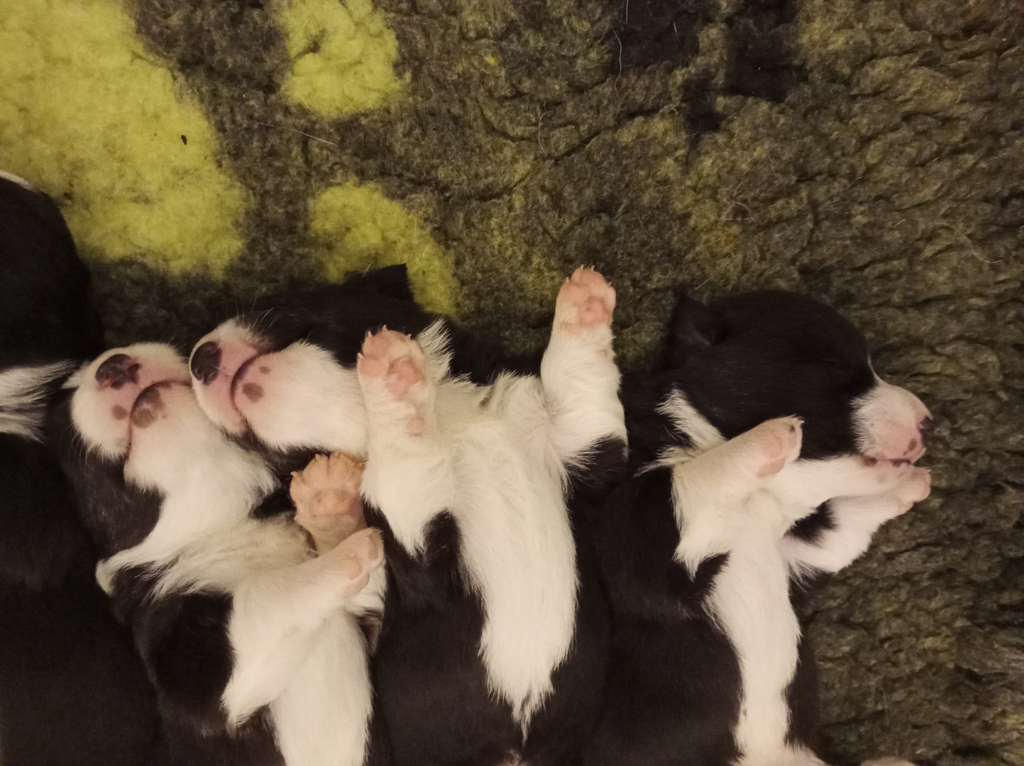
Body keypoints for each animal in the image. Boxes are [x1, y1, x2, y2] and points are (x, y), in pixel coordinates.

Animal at [46, 342, 387, 766]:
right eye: (63, 399)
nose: (112, 366)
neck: (225, 525)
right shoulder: (200, 676)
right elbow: (266, 597)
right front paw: (347, 552)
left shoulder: (367, 621)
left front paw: (333, 502)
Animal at [188, 266, 626, 766]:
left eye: (279, 306)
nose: (199, 360)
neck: (455, 423)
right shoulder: (415, 552)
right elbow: (403, 467)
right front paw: (392, 381)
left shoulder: (584, 453)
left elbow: (582, 391)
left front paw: (585, 305)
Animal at [585, 291, 931, 766]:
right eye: (832, 364)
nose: (928, 420)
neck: (756, 507)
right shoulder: (638, 536)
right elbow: (692, 481)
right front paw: (770, 437)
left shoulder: (796, 558)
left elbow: (840, 527)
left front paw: (906, 485)